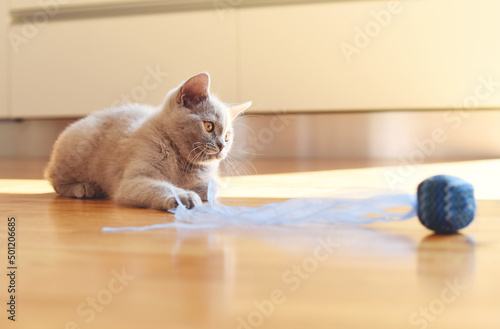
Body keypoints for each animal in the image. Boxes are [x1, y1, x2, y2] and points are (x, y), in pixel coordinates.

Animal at [44, 72, 250, 209]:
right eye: (208, 126)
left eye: (227, 136)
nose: (221, 146)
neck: (181, 162)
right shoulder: (132, 182)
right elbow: (162, 186)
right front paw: (184, 196)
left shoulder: (209, 179)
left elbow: (212, 187)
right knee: (54, 179)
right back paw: (85, 188)